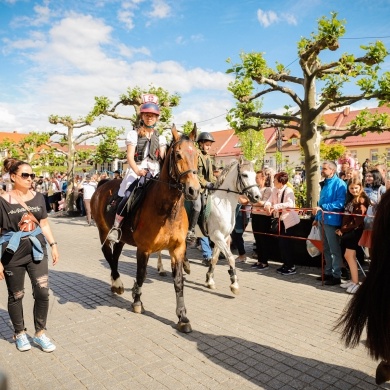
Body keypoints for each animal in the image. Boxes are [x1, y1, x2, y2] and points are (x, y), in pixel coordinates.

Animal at [91, 126, 200, 334]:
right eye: (178, 154)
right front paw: (137, 301)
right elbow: (140, 274)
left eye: (197, 155)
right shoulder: (144, 249)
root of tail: (103, 183)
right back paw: (117, 283)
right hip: (103, 231)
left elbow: (178, 282)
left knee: (115, 256)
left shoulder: (177, 249)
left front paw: (182, 317)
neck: (167, 210)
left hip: (122, 238)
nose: (194, 190)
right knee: (108, 255)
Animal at [203, 157, 260, 294]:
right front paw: (234, 284)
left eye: (255, 175)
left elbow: (214, 258)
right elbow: (230, 258)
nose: (257, 196)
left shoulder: (222, 237)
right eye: (244, 175)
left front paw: (210, 281)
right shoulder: (216, 236)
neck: (223, 204)